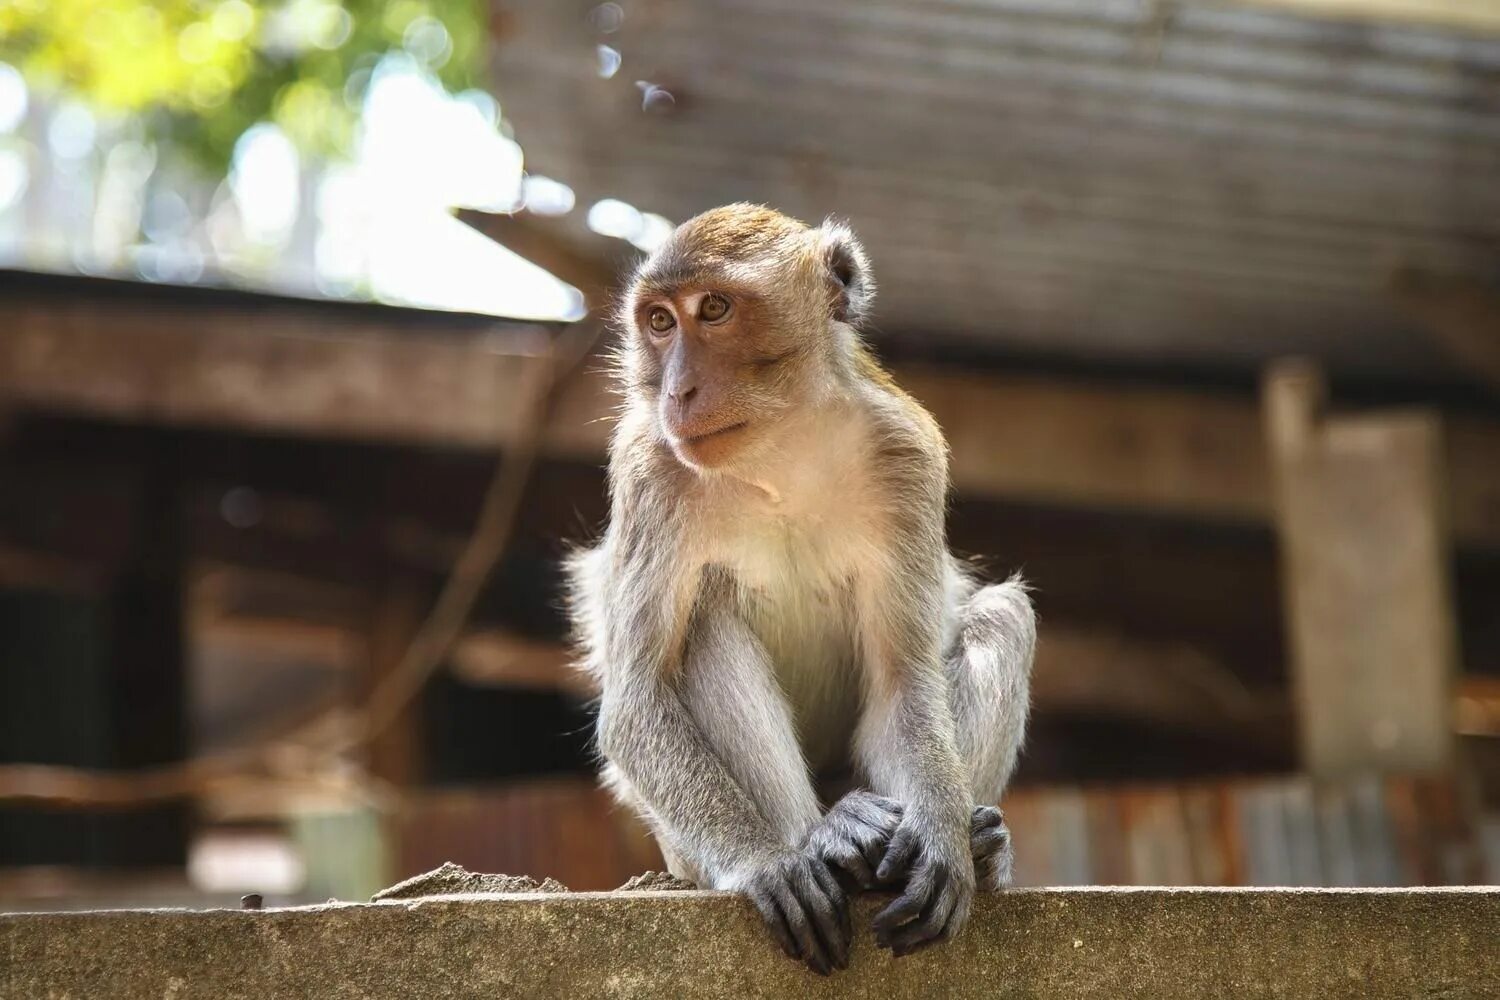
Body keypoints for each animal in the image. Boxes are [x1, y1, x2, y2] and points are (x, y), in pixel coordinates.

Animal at [564, 205, 1032, 977]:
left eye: (714, 309)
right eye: (659, 321)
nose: (677, 391)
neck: (778, 451)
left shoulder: (907, 456)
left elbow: (904, 681)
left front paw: (941, 839)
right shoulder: (648, 471)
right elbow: (637, 703)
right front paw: (766, 860)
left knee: (1001, 613)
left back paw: (978, 844)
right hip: (682, 852)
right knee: (703, 630)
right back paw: (827, 839)